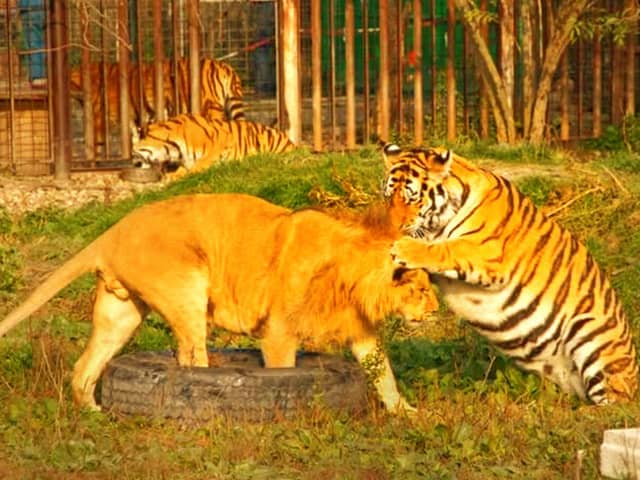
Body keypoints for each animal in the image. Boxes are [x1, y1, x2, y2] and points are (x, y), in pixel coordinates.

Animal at [0, 193, 440, 414]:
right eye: (421, 290)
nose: (435, 311)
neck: (349, 274)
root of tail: (111, 234)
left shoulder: (361, 330)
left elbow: (384, 375)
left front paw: (407, 414)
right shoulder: (278, 331)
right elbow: (282, 374)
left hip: (120, 315)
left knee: (83, 368)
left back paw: (94, 415)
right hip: (186, 291)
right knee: (191, 362)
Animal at [382, 142, 636, 404]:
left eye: (413, 199)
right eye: (388, 197)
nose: (391, 228)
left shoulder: (487, 251)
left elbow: (445, 248)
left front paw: (403, 248)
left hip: (591, 336)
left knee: (616, 402)